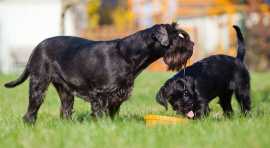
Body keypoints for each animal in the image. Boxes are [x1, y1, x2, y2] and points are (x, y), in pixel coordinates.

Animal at [4, 22, 194, 123]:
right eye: (177, 36)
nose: (191, 45)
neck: (127, 54)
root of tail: (37, 47)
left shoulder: (118, 95)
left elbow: (113, 113)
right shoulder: (101, 95)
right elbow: (100, 113)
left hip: (65, 92)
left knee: (65, 109)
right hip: (38, 85)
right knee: (32, 109)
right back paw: (29, 123)